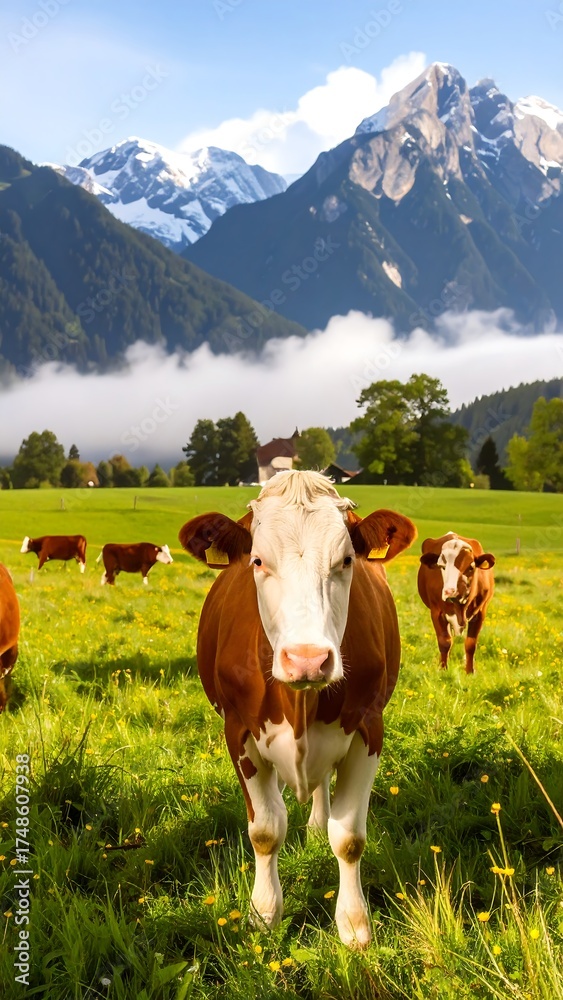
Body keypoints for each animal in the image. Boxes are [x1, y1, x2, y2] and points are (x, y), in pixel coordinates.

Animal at [179, 470, 416, 948]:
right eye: (257, 561)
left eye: (346, 560)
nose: (307, 658)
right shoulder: (239, 731)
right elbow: (266, 830)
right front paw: (264, 914)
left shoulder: (369, 730)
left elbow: (349, 837)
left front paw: (354, 925)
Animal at [417, 532, 495, 673]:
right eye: (442, 566)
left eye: (471, 567)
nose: (449, 591)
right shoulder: (436, 612)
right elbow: (445, 642)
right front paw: (443, 669)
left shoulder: (481, 612)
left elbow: (471, 644)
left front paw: (470, 671)